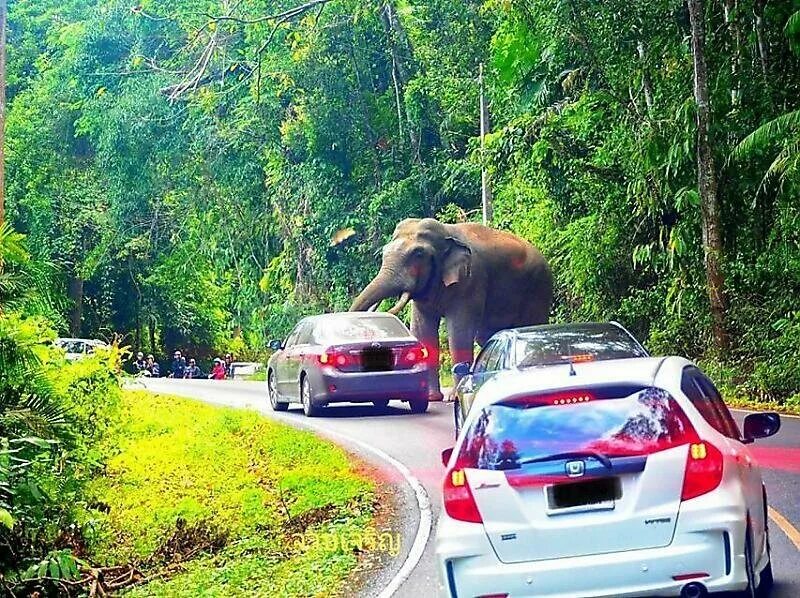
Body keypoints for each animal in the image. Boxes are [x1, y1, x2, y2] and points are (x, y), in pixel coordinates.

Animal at [350, 218, 552, 400]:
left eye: (418, 254)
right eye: (384, 252)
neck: (447, 232)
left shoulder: (471, 281)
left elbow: (459, 331)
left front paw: (453, 397)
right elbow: (423, 331)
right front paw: (432, 398)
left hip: (538, 288)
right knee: (486, 336)